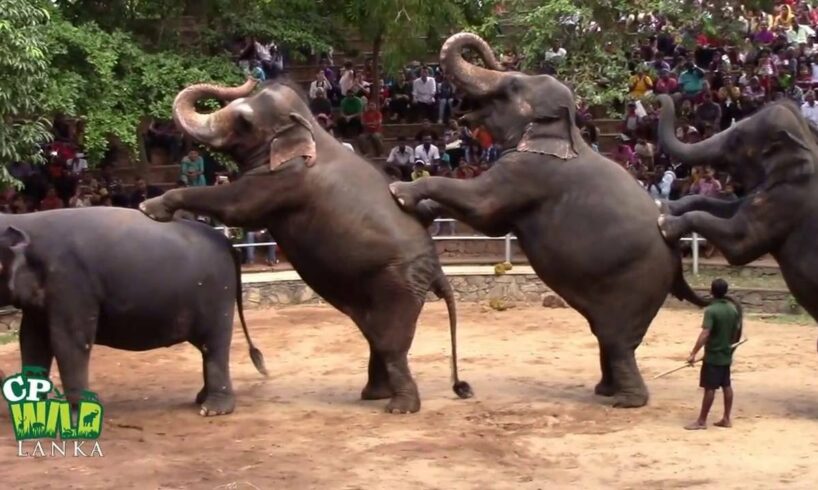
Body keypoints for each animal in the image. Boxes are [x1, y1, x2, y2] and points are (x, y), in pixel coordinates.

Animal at [0, 209, 266, 416]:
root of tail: (229, 244)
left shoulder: (70, 281)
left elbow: (70, 341)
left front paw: (77, 415)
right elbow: (33, 341)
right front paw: (28, 407)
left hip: (218, 293)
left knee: (215, 345)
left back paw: (213, 410)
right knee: (206, 347)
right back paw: (201, 400)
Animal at [139, 77, 472, 414]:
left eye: (244, 120)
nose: (250, 78)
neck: (308, 125)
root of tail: (437, 269)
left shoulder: (285, 179)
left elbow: (238, 209)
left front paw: (148, 208)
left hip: (399, 283)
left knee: (391, 342)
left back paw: (399, 407)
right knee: (376, 336)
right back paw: (374, 394)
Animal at [388, 32, 708, 410]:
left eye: (512, 86)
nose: (497, 58)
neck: (568, 131)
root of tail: (676, 257)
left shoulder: (529, 171)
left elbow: (482, 208)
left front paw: (399, 191)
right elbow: (488, 220)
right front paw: (417, 208)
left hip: (637, 285)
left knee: (617, 340)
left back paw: (624, 401)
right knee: (608, 338)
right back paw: (605, 391)